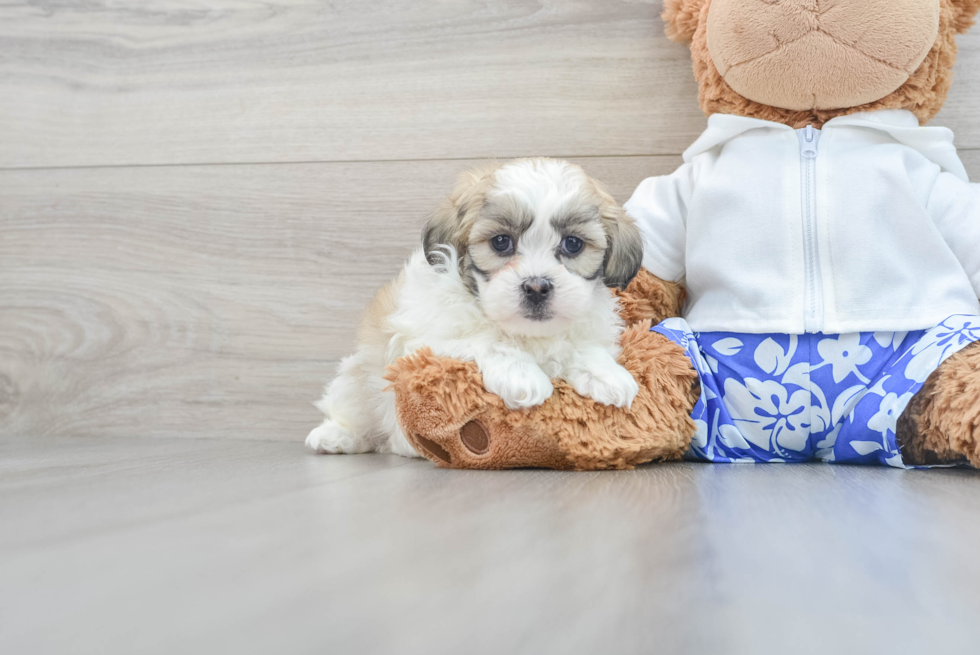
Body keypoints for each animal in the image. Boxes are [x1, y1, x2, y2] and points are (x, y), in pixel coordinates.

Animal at [306, 158, 644, 456]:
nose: (536, 287)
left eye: (573, 244)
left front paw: (606, 374)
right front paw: (522, 375)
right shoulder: (422, 344)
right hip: (356, 381)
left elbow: (582, 347)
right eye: (501, 242)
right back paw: (336, 436)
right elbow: (488, 339)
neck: (527, 335)